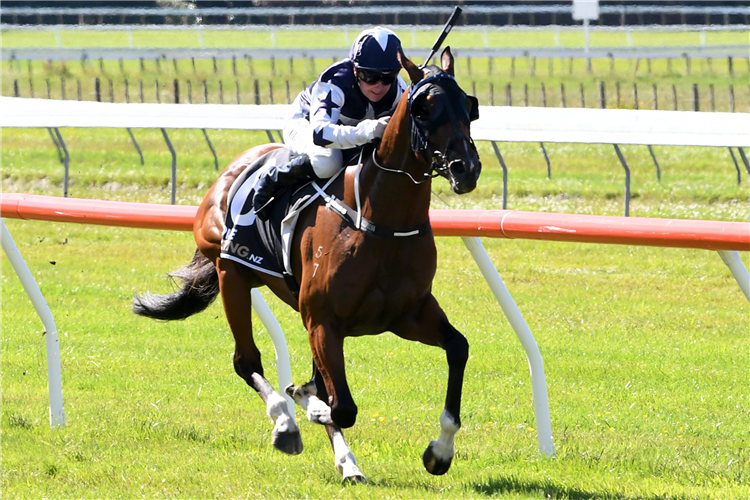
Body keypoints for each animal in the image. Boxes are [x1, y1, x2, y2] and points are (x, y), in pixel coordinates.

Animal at [133, 47, 484, 484]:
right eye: (423, 108)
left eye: (468, 106)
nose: (466, 168)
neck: (381, 220)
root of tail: (234, 167)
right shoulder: (323, 320)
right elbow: (338, 405)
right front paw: (307, 404)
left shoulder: (409, 314)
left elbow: (458, 349)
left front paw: (439, 452)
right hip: (232, 274)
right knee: (246, 360)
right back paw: (287, 425)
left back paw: (347, 462)